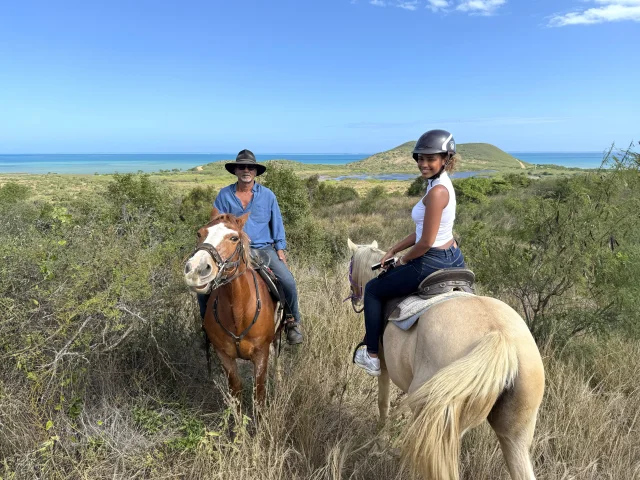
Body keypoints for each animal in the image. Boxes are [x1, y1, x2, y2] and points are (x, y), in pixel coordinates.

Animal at [183, 208, 279, 404]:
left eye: (234, 238)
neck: (239, 311)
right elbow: (236, 390)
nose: (196, 270)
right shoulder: (224, 356)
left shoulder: (261, 354)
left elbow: (259, 394)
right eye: (199, 233)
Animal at [347, 239, 545, 480]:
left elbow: (382, 402)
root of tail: (500, 338)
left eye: (350, 267)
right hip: (513, 434)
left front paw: (378, 442)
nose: (355, 296)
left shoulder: (383, 366)